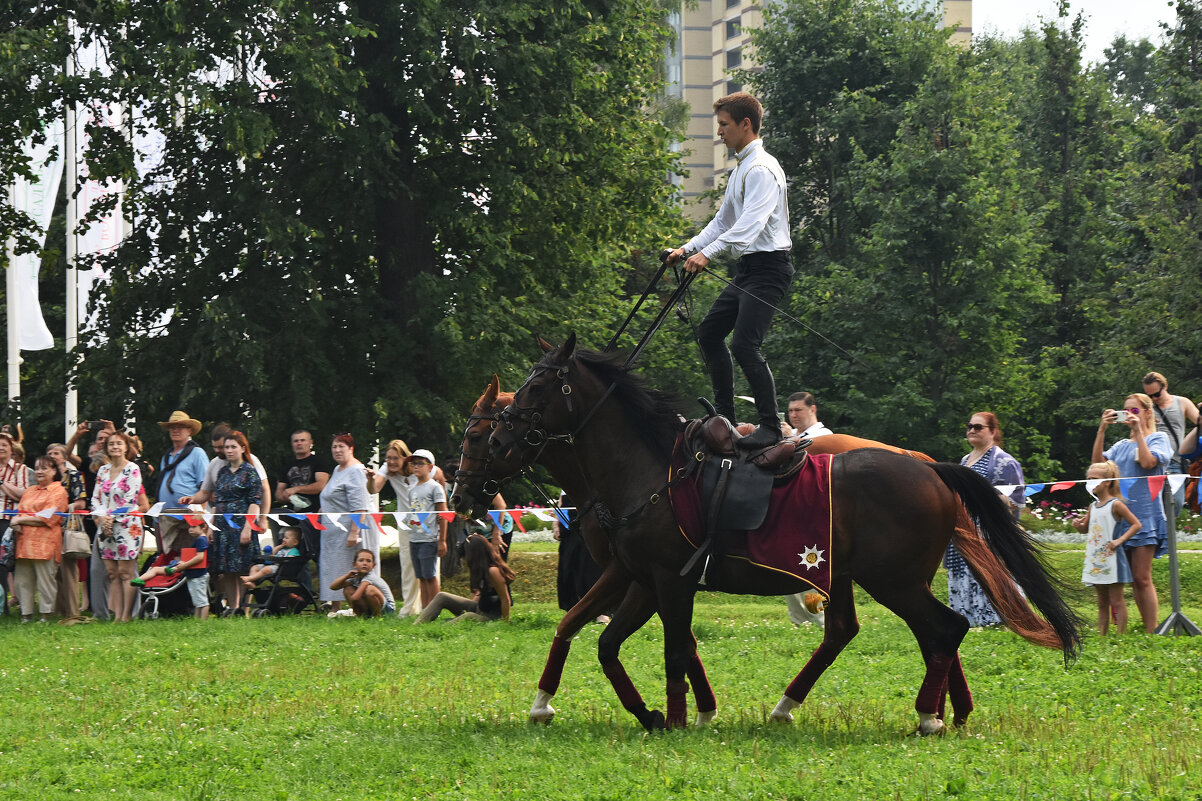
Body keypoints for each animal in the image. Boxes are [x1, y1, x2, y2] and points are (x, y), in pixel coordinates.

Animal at [451, 336, 1081, 731]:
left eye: (535, 391)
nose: (461, 494)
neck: (644, 470)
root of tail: (930, 468)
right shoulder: (638, 577)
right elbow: (591, 634)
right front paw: (571, 705)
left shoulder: (664, 581)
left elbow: (673, 648)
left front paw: (678, 719)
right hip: (857, 577)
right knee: (887, 634)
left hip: (893, 581)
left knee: (944, 629)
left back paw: (928, 714)